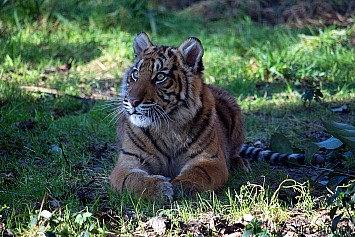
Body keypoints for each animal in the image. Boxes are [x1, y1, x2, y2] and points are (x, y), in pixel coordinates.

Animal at [109, 32, 314, 202]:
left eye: (160, 77)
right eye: (135, 74)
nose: (132, 101)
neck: (167, 126)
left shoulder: (211, 159)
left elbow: (198, 172)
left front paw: (182, 185)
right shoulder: (127, 163)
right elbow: (133, 179)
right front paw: (158, 189)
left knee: (234, 151)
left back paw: (240, 163)